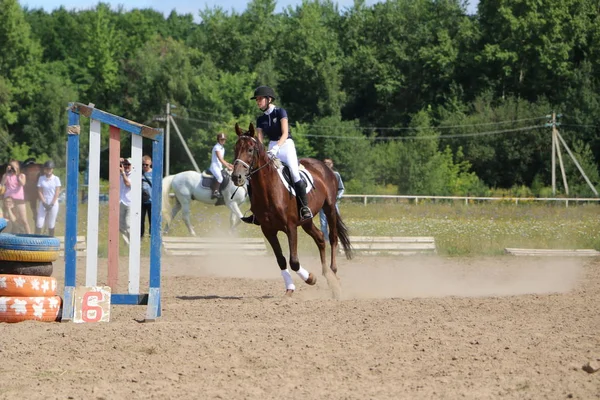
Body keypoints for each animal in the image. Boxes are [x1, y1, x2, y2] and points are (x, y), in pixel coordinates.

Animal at [230, 123, 352, 298]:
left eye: (250, 149)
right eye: (235, 148)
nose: (236, 177)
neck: (268, 190)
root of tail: (324, 166)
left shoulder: (291, 227)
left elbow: (294, 261)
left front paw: (310, 279)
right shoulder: (268, 230)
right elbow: (281, 259)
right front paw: (290, 288)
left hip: (329, 208)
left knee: (333, 238)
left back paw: (334, 277)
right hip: (307, 220)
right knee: (320, 238)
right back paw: (328, 277)